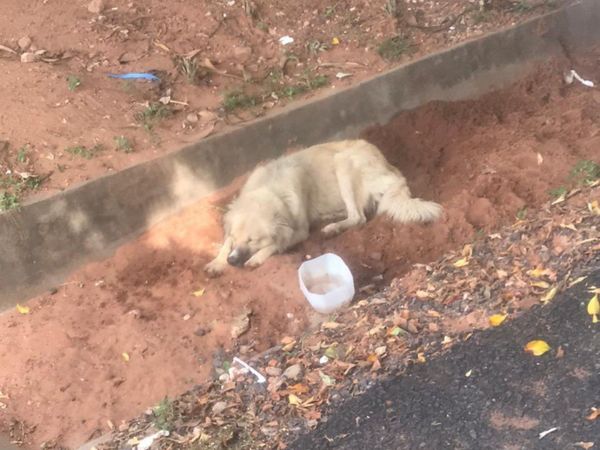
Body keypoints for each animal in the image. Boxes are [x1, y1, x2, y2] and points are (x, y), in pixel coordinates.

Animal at [204, 139, 442, 276]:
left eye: (253, 240)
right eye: (235, 237)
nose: (232, 261)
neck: (270, 187)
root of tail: (391, 169)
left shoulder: (299, 231)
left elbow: (277, 244)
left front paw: (256, 258)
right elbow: (225, 244)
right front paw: (217, 262)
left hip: (343, 163)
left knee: (358, 217)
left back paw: (333, 228)